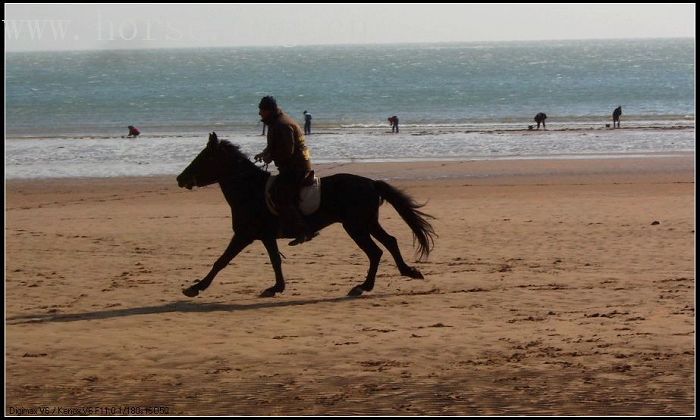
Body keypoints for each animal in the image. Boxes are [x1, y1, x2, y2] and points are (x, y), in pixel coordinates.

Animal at [176, 132, 438, 298]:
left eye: (203, 158)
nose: (180, 179)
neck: (250, 190)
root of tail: (371, 183)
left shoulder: (245, 235)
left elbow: (221, 260)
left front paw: (195, 287)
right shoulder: (266, 237)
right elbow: (275, 260)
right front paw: (276, 288)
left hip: (356, 226)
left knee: (376, 251)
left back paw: (364, 286)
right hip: (367, 223)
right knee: (389, 243)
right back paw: (406, 272)